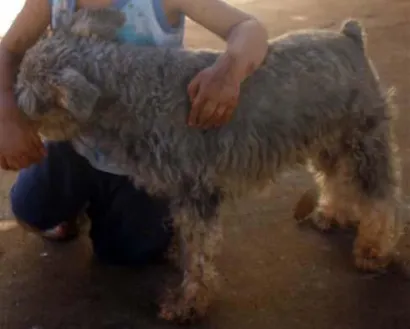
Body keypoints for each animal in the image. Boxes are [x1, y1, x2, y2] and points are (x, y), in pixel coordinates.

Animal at [13, 7, 404, 322]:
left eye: (26, 94)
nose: (12, 113)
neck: (130, 92)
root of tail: (350, 37)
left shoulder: (196, 191)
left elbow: (198, 253)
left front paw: (188, 303)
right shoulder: (181, 192)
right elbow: (186, 241)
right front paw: (175, 257)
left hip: (364, 139)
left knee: (381, 196)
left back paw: (373, 249)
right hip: (329, 140)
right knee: (338, 178)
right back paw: (332, 213)